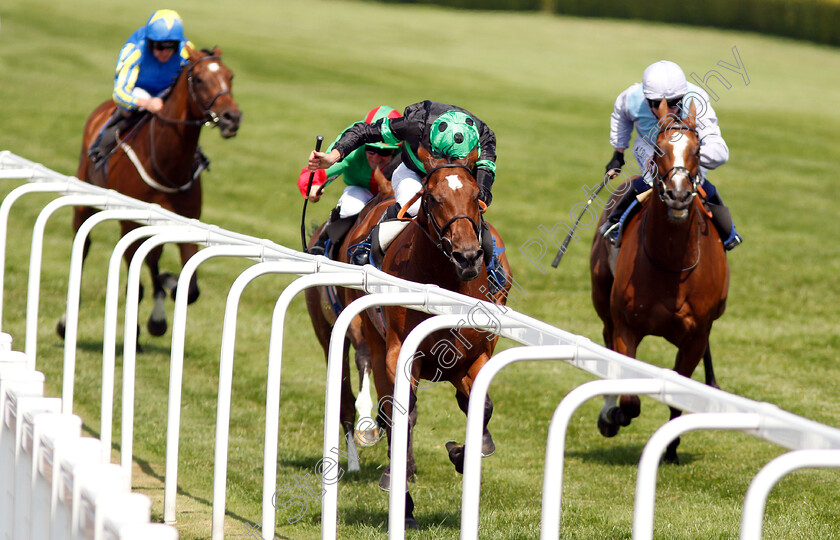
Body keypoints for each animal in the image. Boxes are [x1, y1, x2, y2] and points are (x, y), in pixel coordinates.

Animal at [59, 47, 241, 342]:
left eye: (230, 76)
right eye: (200, 79)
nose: (231, 117)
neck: (166, 164)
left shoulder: (185, 221)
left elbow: (189, 289)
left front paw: (166, 296)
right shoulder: (130, 222)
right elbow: (136, 279)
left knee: (153, 260)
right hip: (86, 201)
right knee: (84, 248)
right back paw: (67, 322)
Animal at [342, 147, 508, 528]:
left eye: (475, 196)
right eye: (432, 198)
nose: (467, 256)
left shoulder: (475, 355)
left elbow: (482, 406)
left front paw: (465, 452)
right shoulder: (399, 353)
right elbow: (400, 412)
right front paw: (398, 490)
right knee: (391, 410)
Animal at [592, 101, 728, 464]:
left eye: (698, 150)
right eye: (658, 149)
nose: (678, 196)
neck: (672, 266)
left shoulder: (696, 336)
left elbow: (680, 392)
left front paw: (671, 448)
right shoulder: (627, 327)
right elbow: (629, 395)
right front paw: (616, 414)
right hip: (602, 298)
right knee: (606, 340)